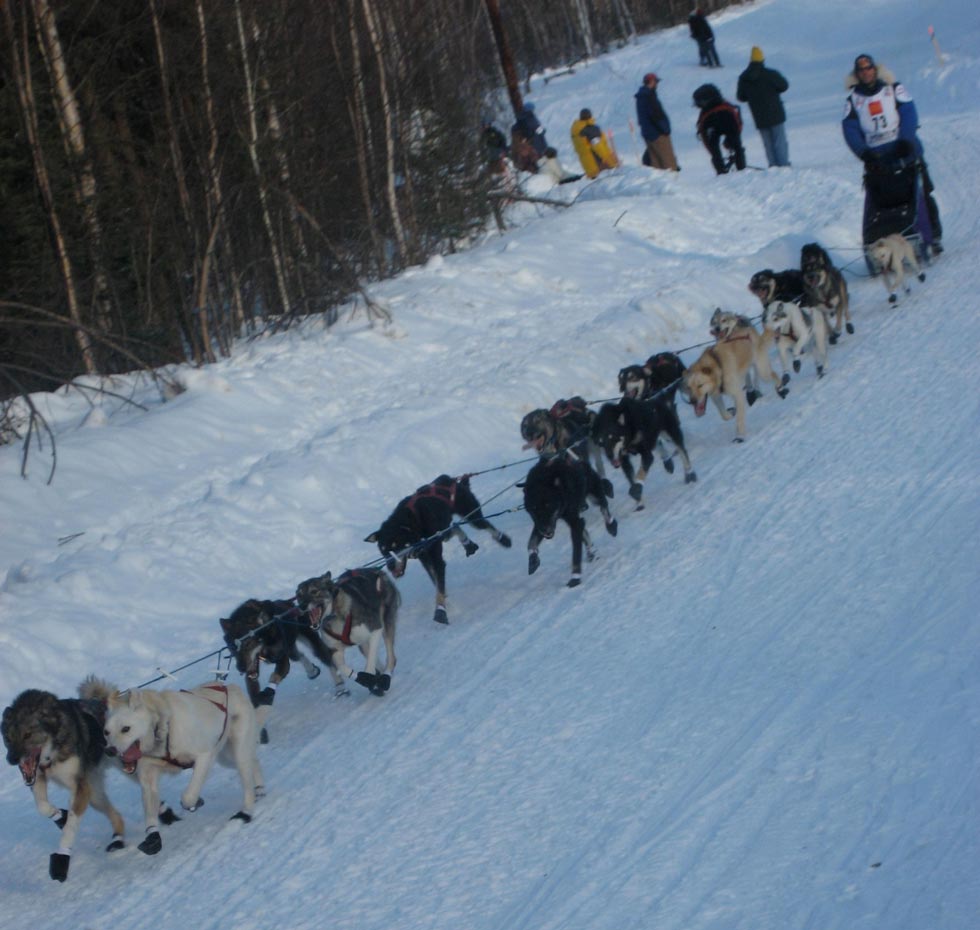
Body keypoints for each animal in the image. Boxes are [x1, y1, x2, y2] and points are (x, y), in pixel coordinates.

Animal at [2, 676, 127, 876]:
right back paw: (117, 839)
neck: (51, 753)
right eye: (7, 737)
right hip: (95, 795)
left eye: (27, 734)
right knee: (115, 814)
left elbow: (71, 826)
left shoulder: (79, 787)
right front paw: (60, 816)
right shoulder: (38, 779)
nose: (11, 759)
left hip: (125, 767)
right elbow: (43, 807)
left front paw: (62, 856)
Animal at [104, 676, 264, 852]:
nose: (109, 750)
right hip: (227, 757)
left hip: (237, 752)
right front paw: (152, 836)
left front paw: (195, 803)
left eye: (126, 729)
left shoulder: (204, 756)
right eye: (106, 732)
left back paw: (246, 812)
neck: (164, 728)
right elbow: (151, 810)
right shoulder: (148, 779)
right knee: (253, 761)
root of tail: (230, 687)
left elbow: (188, 796)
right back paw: (259, 788)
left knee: (246, 778)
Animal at [292, 564, 400, 696]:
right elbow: (341, 668)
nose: (302, 606)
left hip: (386, 624)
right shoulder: (335, 650)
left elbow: (370, 661)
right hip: (362, 643)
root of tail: (376, 570)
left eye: (314, 591)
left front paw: (370, 675)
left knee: (391, 658)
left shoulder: (375, 629)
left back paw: (386, 676)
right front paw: (366, 679)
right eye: (299, 595)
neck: (334, 616)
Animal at [524, 452, 616, 588]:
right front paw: (533, 559)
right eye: (534, 509)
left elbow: (576, 553)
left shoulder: (572, 522)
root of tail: (580, 462)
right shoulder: (540, 524)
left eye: (548, 505)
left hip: (594, 496)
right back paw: (591, 552)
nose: (545, 531)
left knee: (604, 506)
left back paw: (611, 525)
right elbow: (531, 542)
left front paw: (575, 578)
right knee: (585, 531)